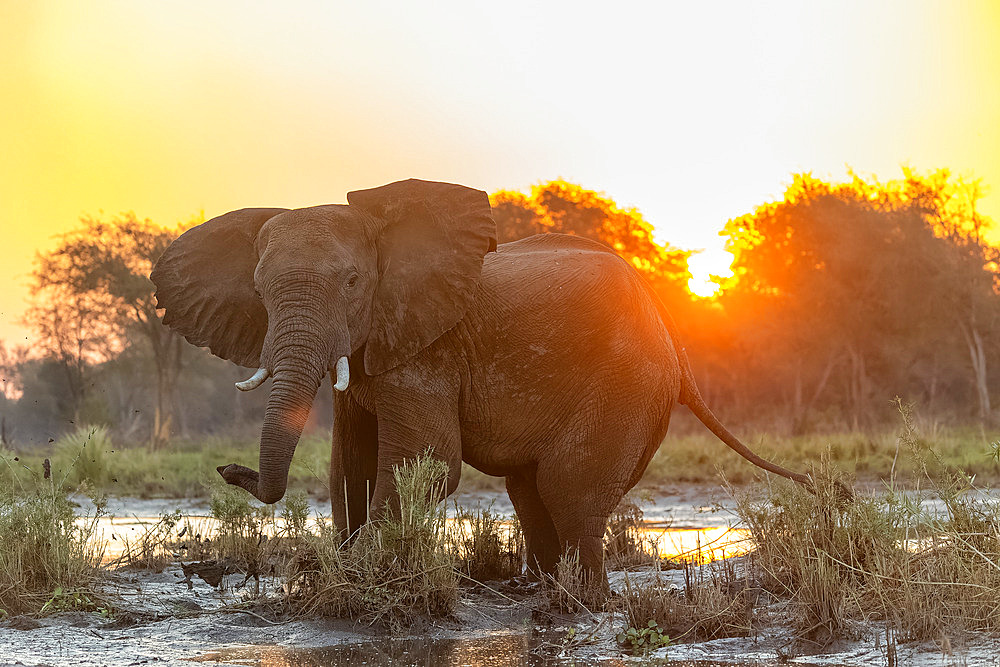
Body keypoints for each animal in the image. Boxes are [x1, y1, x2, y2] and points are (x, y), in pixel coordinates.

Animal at [152, 180, 816, 580]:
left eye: (351, 283)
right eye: (259, 290)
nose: (227, 469)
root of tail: (672, 335)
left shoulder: (426, 354)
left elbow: (426, 461)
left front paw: (360, 576)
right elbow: (349, 465)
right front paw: (344, 573)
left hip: (627, 380)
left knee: (569, 488)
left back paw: (583, 606)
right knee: (532, 491)